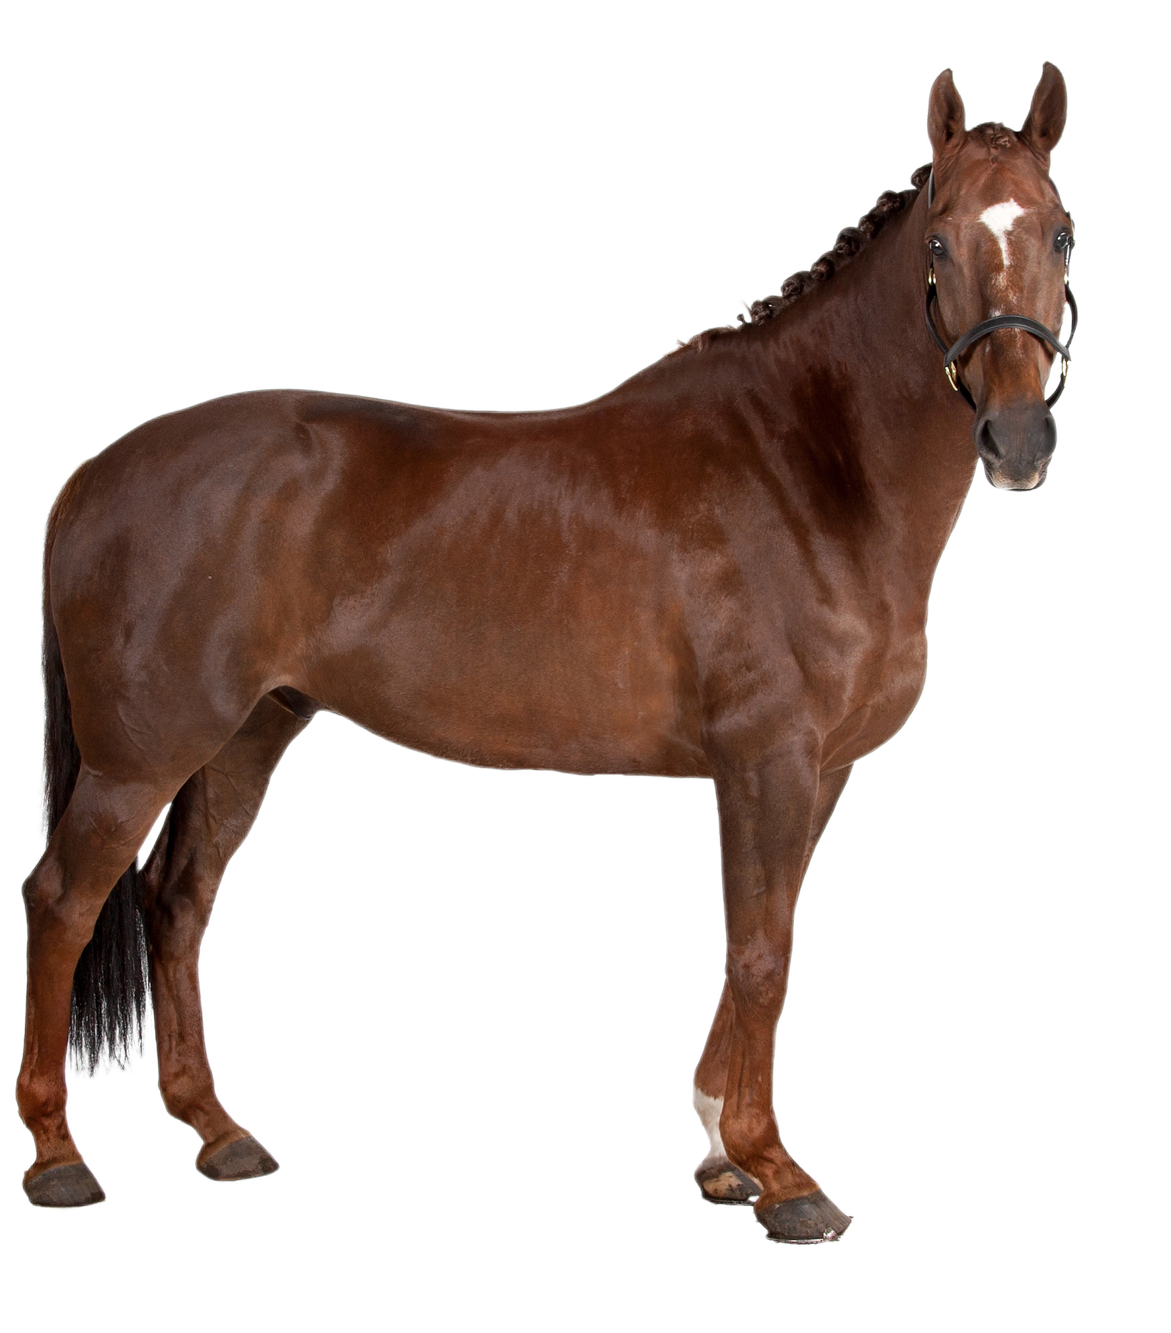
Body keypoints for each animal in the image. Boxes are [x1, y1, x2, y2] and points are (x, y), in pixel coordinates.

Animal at [16, 62, 1077, 1242]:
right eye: (938, 240)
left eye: (1060, 230)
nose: (1018, 440)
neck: (803, 462)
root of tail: (94, 475)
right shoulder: (766, 760)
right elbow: (763, 953)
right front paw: (781, 1174)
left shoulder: (818, 769)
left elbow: (764, 939)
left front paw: (722, 1154)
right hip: (140, 757)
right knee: (61, 901)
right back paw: (58, 1158)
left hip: (246, 735)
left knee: (178, 900)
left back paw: (220, 1134)